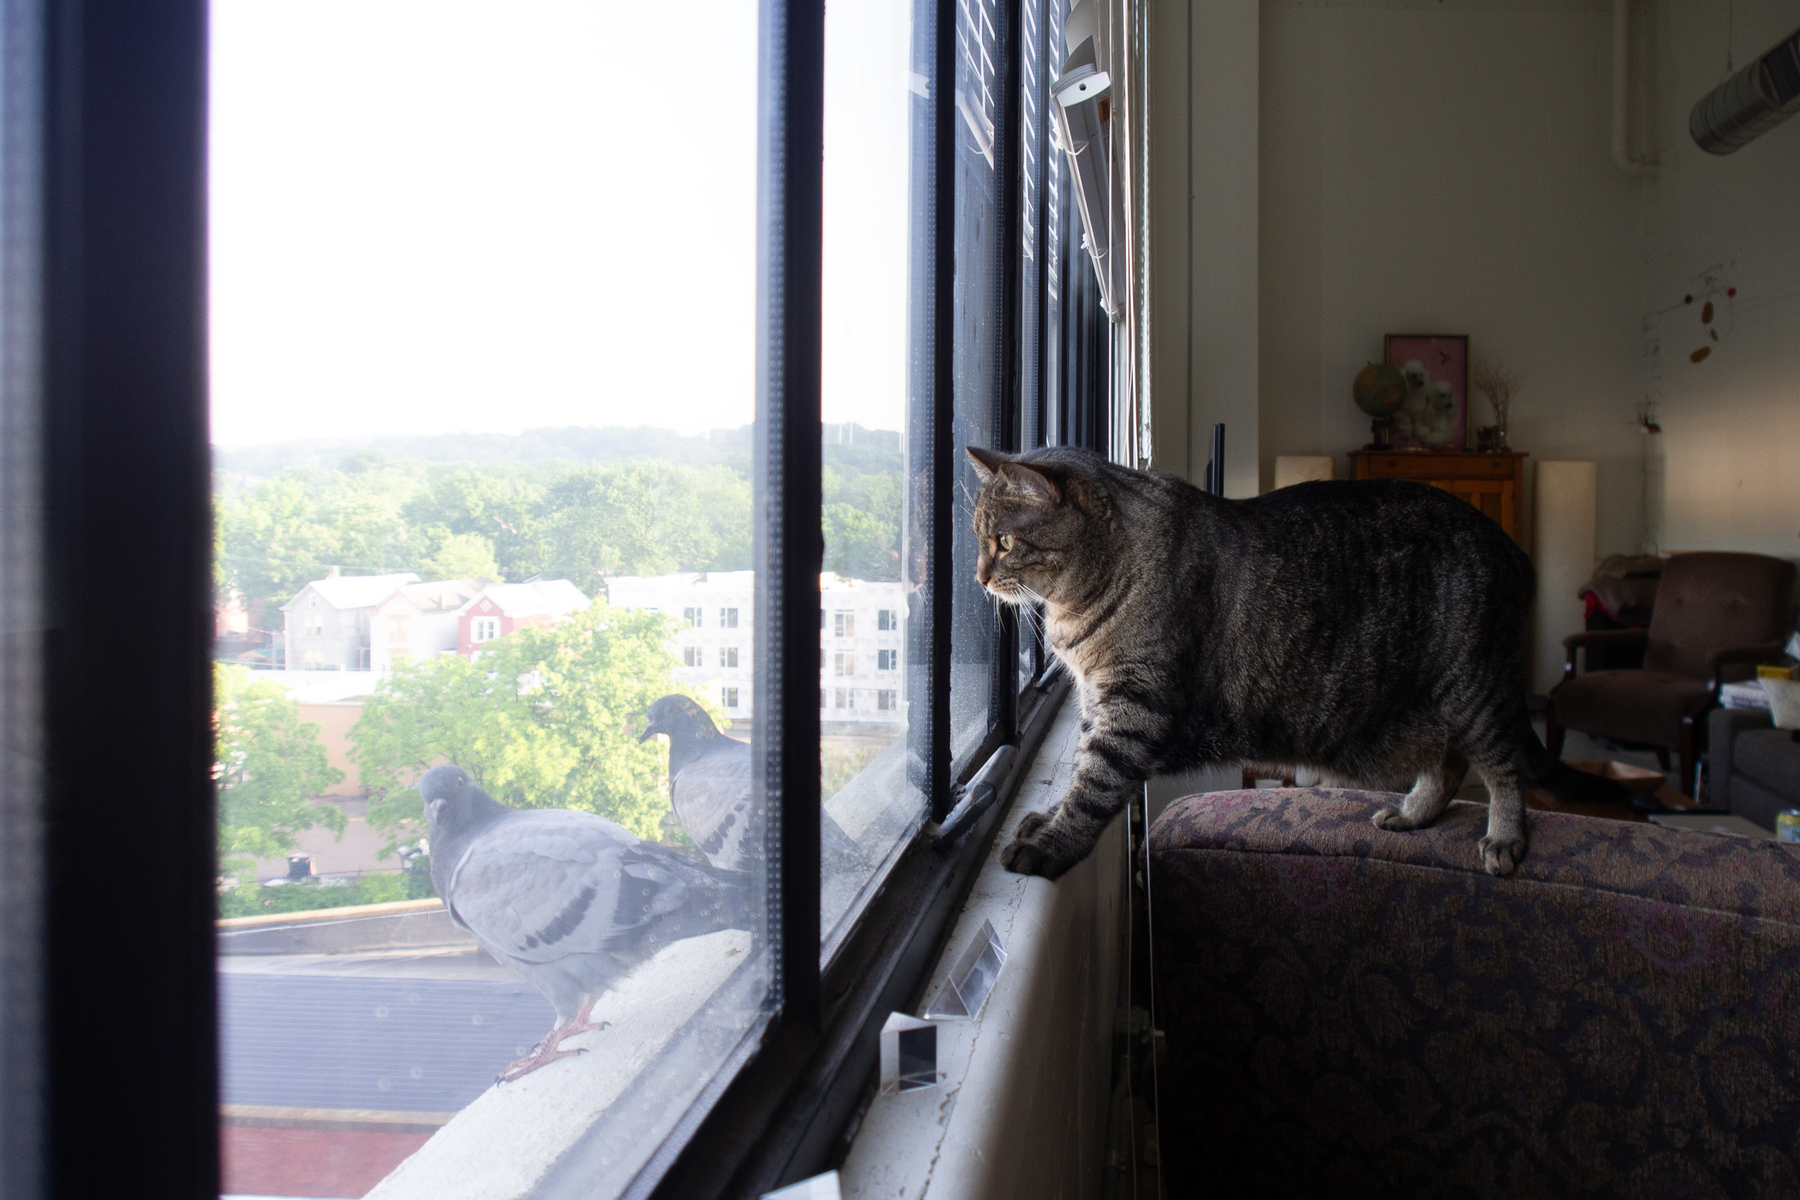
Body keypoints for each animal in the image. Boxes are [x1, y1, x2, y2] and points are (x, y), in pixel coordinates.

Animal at [972, 446, 1634, 877]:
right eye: (980, 539)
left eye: (1003, 542)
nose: (978, 575)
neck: (1075, 605)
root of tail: (1513, 548)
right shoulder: (1099, 699)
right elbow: (1079, 770)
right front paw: (1047, 819)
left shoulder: (1134, 704)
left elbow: (1095, 781)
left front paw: (1054, 844)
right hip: (1434, 706)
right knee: (1447, 766)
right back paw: (1413, 814)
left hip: (1474, 687)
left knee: (1502, 768)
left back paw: (1504, 835)